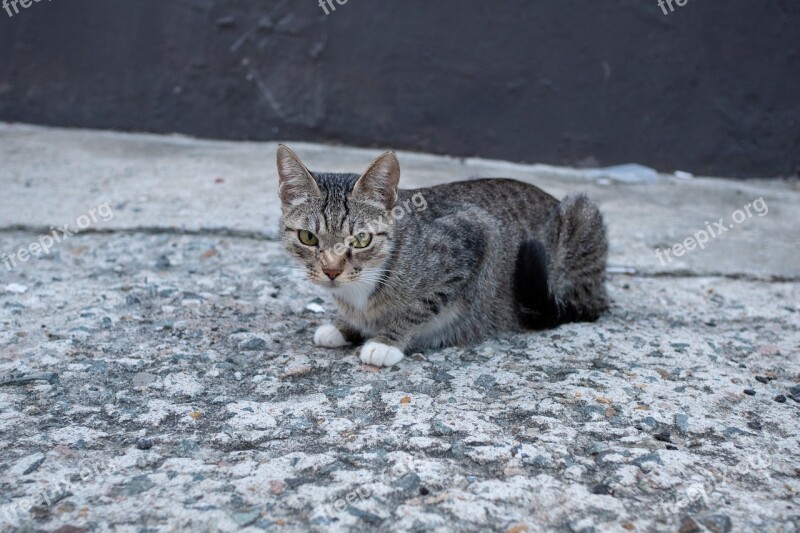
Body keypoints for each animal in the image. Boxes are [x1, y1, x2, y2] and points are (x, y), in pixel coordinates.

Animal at [276, 145, 608, 366]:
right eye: (308, 237)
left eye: (361, 239)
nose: (332, 271)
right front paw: (344, 326)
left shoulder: (474, 235)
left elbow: (421, 306)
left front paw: (386, 341)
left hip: (582, 215)